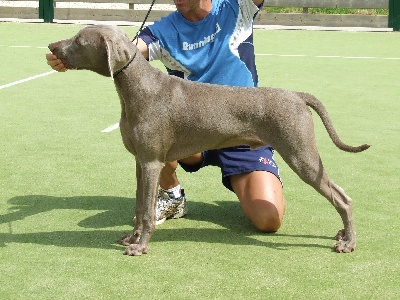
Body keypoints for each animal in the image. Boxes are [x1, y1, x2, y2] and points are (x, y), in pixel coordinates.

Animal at [48, 25, 370, 255]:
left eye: (79, 40)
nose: (51, 46)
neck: (138, 89)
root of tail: (297, 95)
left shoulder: (151, 161)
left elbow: (146, 213)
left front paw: (141, 247)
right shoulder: (141, 162)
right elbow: (140, 208)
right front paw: (132, 238)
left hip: (301, 155)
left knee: (343, 198)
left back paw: (348, 242)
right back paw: (343, 235)